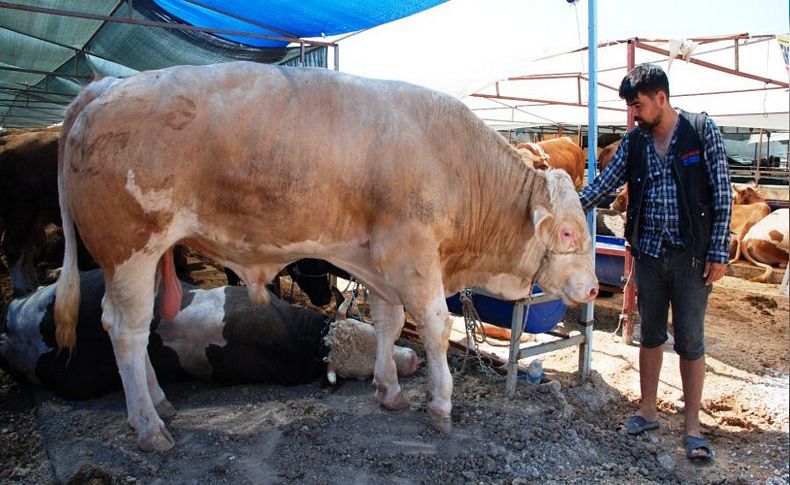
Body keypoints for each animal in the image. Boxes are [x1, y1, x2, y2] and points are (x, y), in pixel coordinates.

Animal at [55, 61, 600, 450]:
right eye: (568, 232)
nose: (595, 288)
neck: (456, 164)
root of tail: (104, 87)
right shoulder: (412, 254)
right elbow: (435, 327)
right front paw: (441, 404)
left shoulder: (377, 261)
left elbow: (388, 321)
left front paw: (388, 390)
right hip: (130, 249)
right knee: (125, 330)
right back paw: (149, 427)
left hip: (148, 258)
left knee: (136, 325)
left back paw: (159, 404)